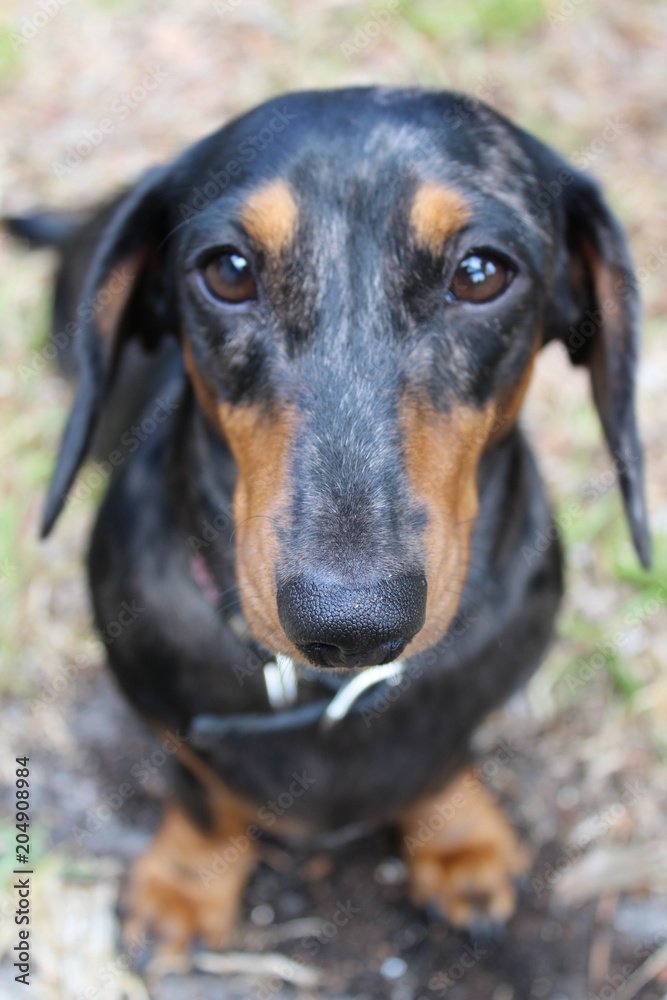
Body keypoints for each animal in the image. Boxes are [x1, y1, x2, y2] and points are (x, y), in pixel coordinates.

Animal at [7, 90, 648, 956]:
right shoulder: (166, 716)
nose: (350, 622)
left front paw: (460, 844)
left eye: (481, 272)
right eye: (227, 270)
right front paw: (185, 886)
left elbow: (446, 763)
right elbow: (204, 799)